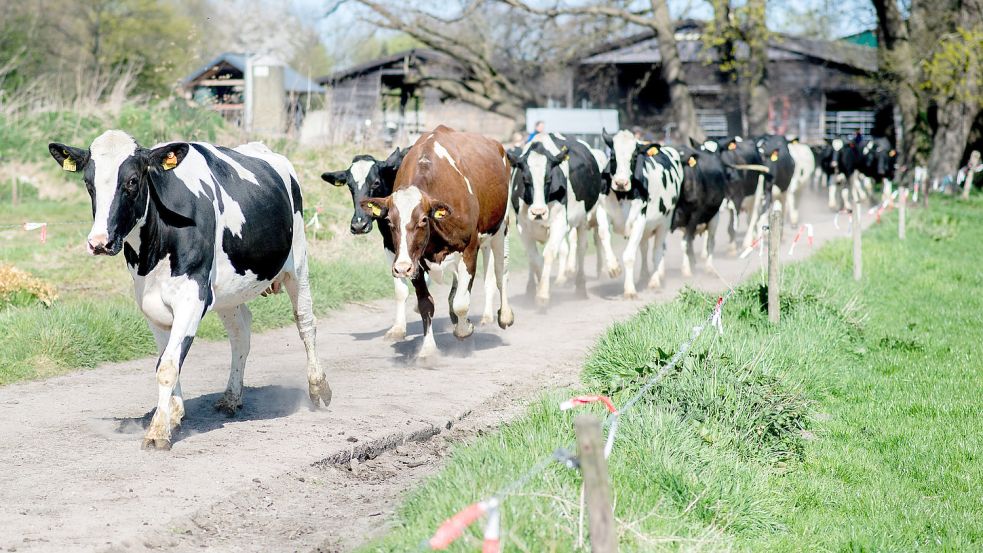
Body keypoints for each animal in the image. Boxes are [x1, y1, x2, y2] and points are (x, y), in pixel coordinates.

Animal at [49, 132, 330, 450]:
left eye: (132, 181)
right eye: (88, 183)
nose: (99, 242)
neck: (154, 250)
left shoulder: (192, 296)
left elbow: (168, 366)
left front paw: (158, 431)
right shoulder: (149, 302)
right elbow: (164, 360)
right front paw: (173, 414)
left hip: (298, 262)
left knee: (305, 322)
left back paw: (318, 387)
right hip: (228, 292)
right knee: (241, 334)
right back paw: (231, 397)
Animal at [362, 125, 516, 358]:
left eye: (423, 220)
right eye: (389, 221)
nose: (401, 268)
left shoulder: (469, 249)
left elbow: (463, 302)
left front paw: (464, 330)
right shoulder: (415, 262)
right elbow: (426, 305)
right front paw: (427, 350)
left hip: (500, 228)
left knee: (500, 272)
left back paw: (504, 315)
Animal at [508, 134, 616, 306]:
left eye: (549, 179)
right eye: (525, 179)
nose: (538, 212)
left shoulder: (559, 223)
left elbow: (549, 253)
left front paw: (543, 294)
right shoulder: (522, 226)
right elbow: (534, 258)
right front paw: (538, 288)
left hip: (585, 218)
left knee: (583, 247)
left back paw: (582, 286)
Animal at [600, 129, 684, 298]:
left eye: (634, 157)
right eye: (612, 155)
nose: (620, 182)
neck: (622, 195)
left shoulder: (639, 220)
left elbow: (629, 256)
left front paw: (629, 290)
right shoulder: (603, 211)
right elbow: (604, 235)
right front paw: (613, 268)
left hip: (664, 222)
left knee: (657, 251)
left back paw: (655, 281)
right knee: (644, 249)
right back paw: (644, 276)